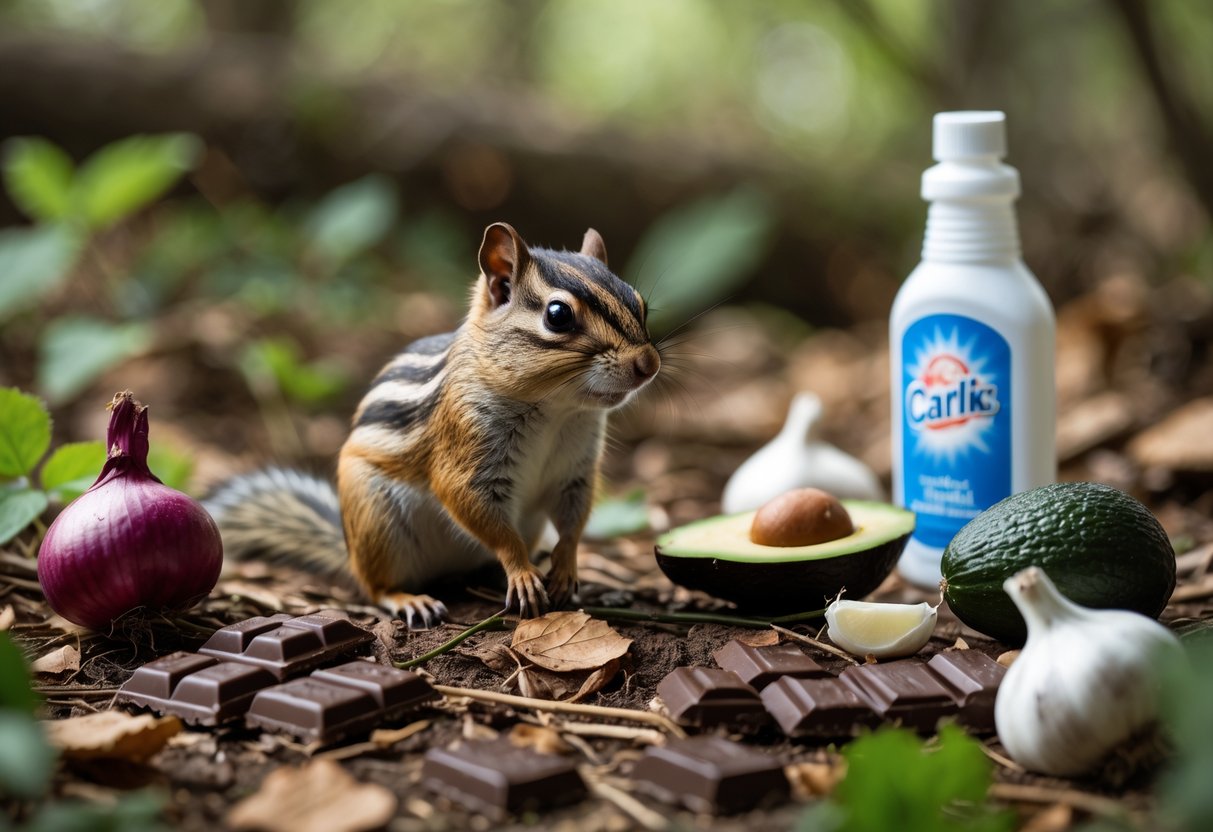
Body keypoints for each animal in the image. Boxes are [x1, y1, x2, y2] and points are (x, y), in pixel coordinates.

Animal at [206, 223, 660, 629]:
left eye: (639, 303)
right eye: (558, 314)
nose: (648, 364)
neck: (556, 411)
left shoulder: (575, 472)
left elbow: (573, 522)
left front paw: (564, 567)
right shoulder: (465, 457)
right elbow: (480, 514)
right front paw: (521, 572)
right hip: (376, 522)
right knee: (376, 587)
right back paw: (412, 599)